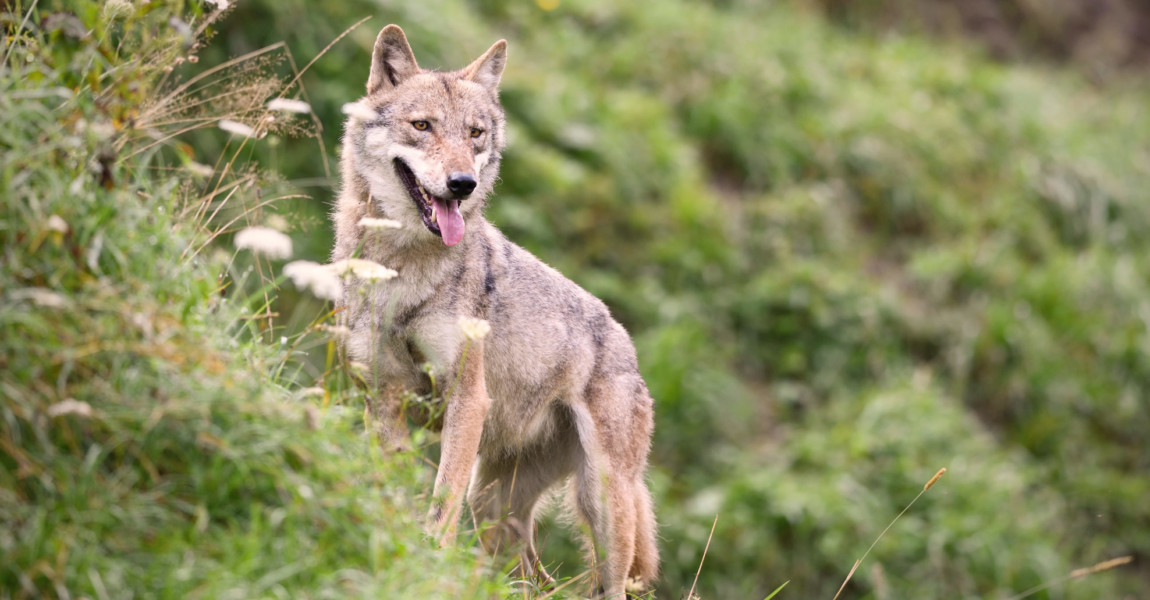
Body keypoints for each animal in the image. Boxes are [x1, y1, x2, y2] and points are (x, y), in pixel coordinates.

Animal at [328, 23, 662, 593]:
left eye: (476, 133)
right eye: (423, 126)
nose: (462, 184)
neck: (401, 267)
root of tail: (626, 343)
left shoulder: (468, 400)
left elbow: (440, 502)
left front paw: (426, 562)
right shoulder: (384, 394)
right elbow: (392, 483)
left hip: (600, 503)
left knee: (610, 584)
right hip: (493, 508)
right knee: (534, 578)